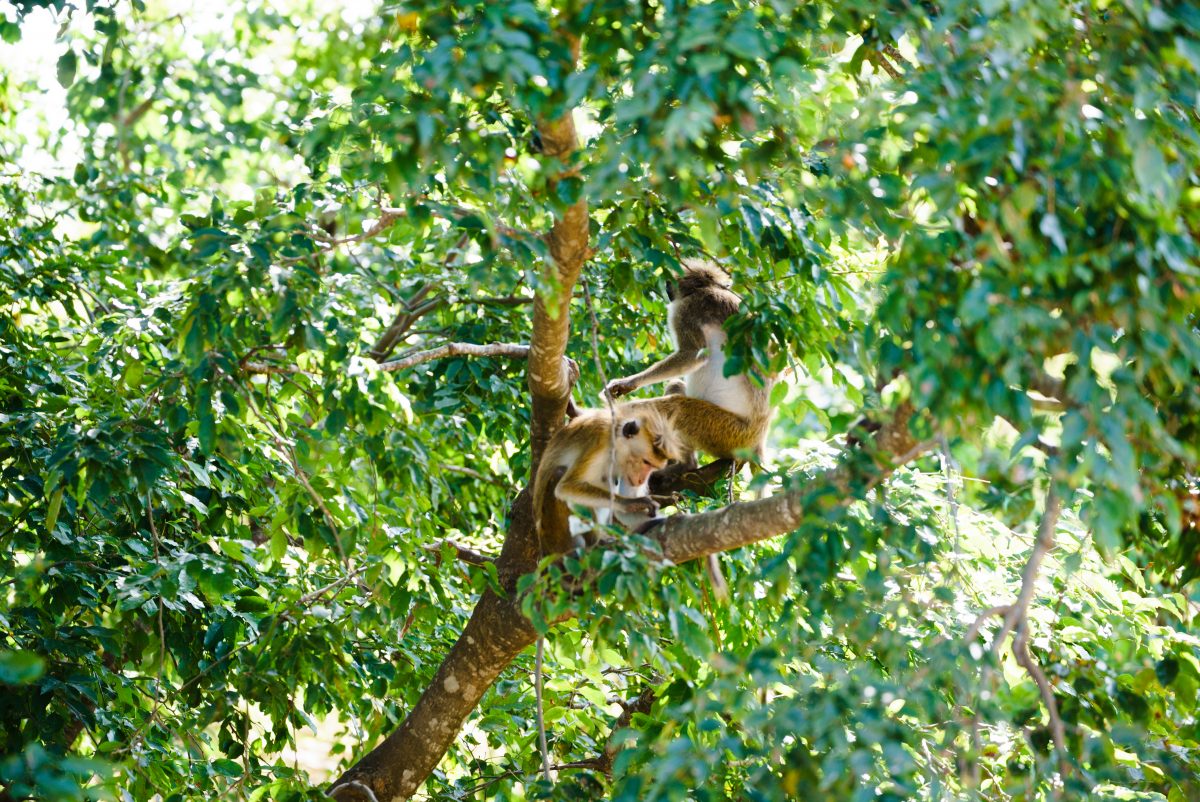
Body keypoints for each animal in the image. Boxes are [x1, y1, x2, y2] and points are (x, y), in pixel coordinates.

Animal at [535, 401, 686, 557]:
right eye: (646, 462)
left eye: (653, 466)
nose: (641, 480)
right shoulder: (600, 441)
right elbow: (565, 487)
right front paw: (632, 503)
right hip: (556, 540)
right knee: (559, 474)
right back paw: (593, 543)